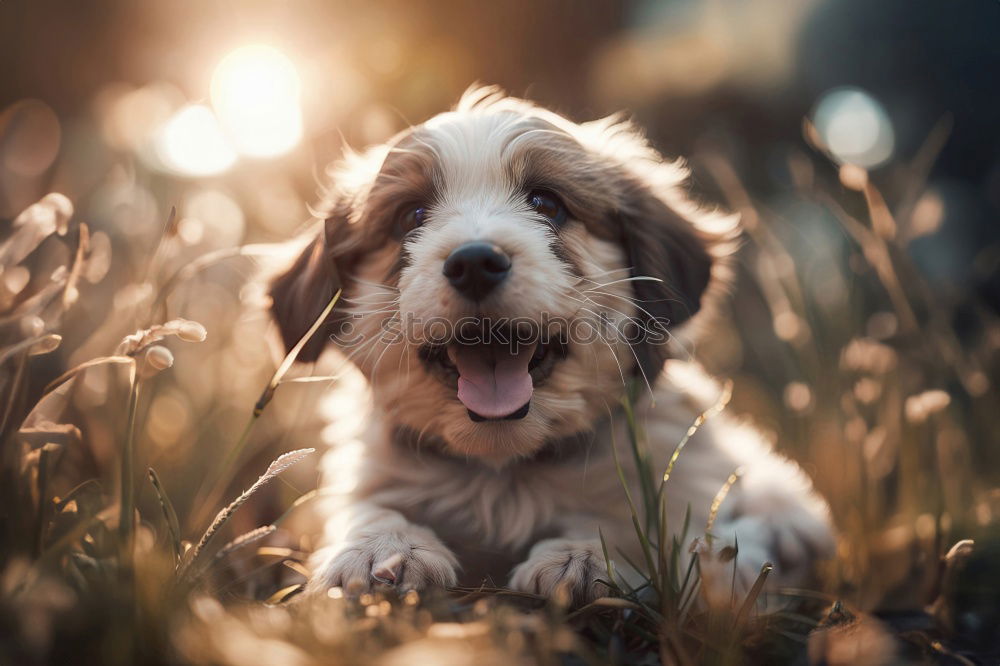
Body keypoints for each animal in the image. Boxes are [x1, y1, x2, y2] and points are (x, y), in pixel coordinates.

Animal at [268, 85, 836, 604]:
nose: (474, 262)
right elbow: (372, 504)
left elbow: (644, 523)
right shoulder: (369, 471)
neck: (506, 473)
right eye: (411, 216)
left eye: (547, 204)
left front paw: (582, 556)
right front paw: (383, 549)